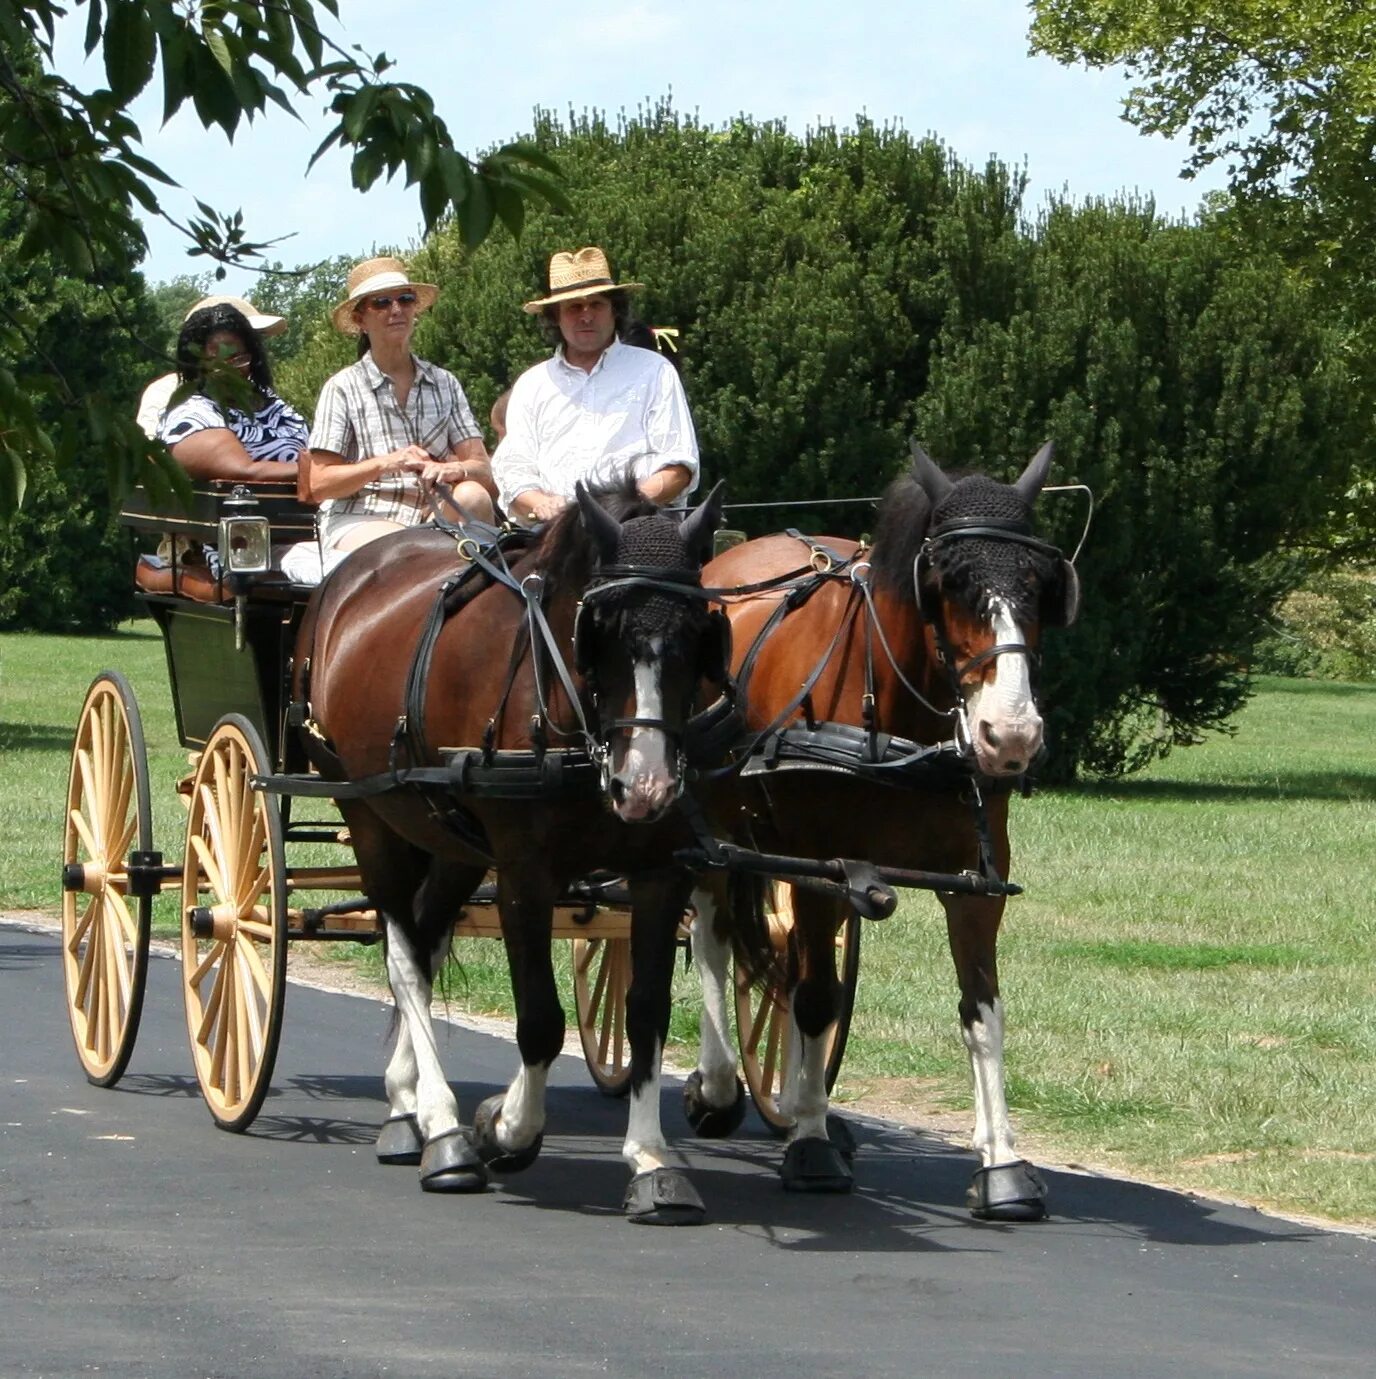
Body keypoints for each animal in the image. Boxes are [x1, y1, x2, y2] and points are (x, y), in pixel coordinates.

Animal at [297, 479, 739, 1224]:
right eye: (600, 632)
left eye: (698, 636)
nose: (646, 785)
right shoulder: (524, 876)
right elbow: (539, 1021)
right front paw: (505, 1130)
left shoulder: (659, 874)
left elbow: (646, 1013)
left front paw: (651, 1160)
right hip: (370, 815)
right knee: (403, 960)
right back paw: (442, 1131)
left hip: (451, 842)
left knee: (425, 942)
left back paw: (406, 1105)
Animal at [683, 441, 1080, 1219]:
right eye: (948, 582)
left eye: (1040, 585)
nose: (1011, 735)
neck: (904, 726)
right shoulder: (823, 864)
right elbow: (814, 996)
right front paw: (808, 1144)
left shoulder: (973, 880)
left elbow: (982, 1007)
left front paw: (1004, 1162)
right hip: (712, 826)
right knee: (715, 933)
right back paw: (719, 1087)